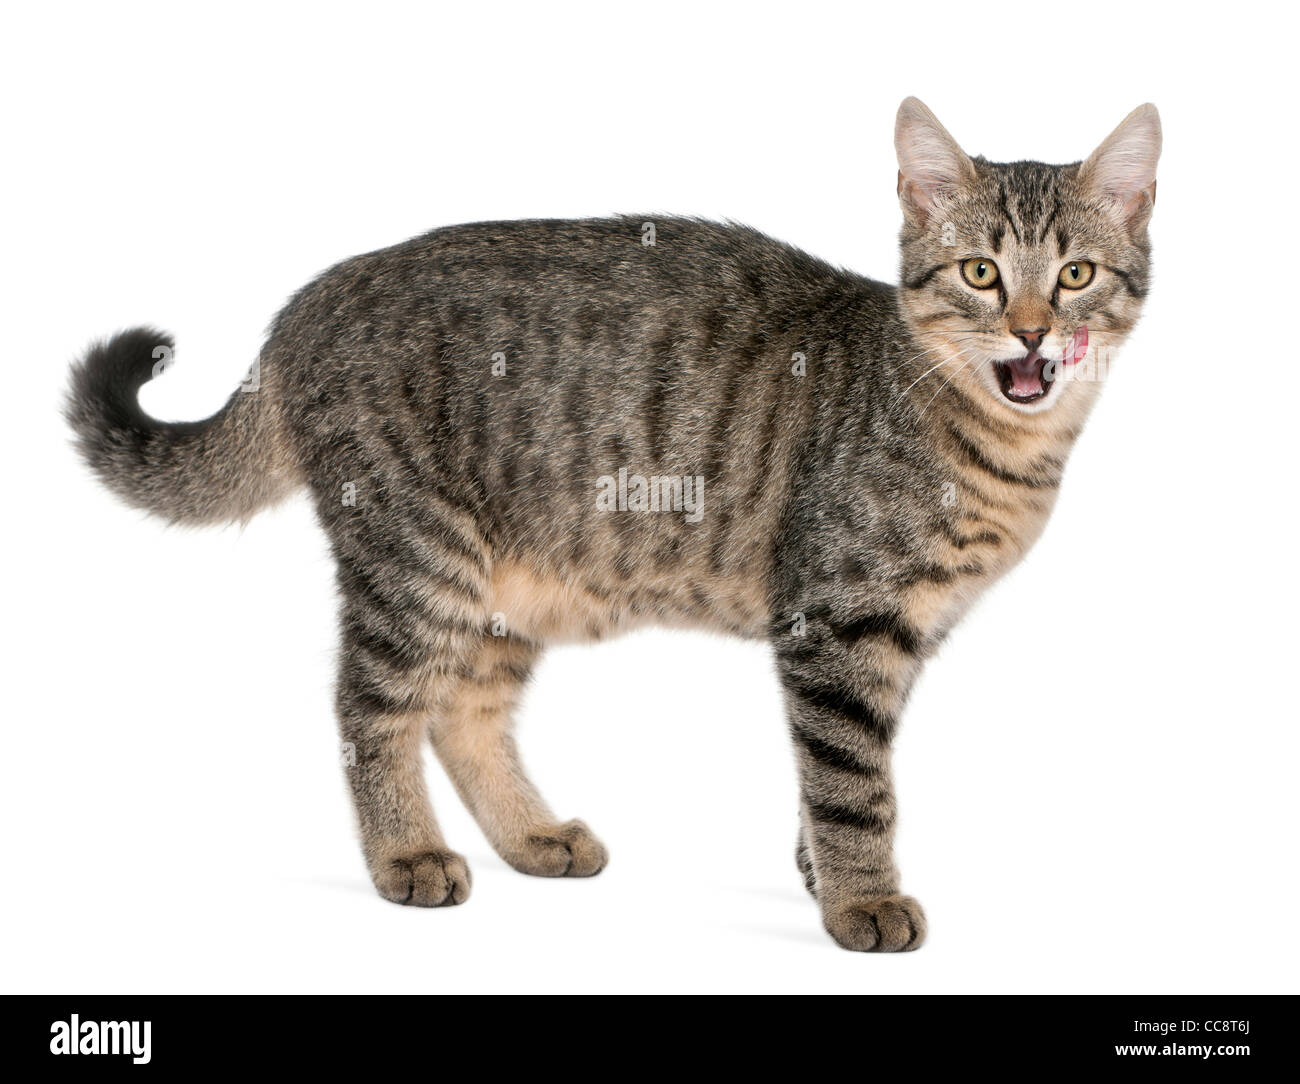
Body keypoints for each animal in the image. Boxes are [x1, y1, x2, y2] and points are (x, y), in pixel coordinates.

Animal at [63, 99, 1159, 946]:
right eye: (980, 273)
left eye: (1073, 275)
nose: (1030, 332)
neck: (995, 446)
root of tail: (305, 304)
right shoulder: (837, 621)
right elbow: (853, 781)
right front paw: (861, 900)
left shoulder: (893, 639)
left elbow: (832, 774)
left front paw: (819, 874)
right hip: (415, 556)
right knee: (368, 708)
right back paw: (406, 850)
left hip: (506, 584)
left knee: (463, 711)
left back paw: (529, 835)